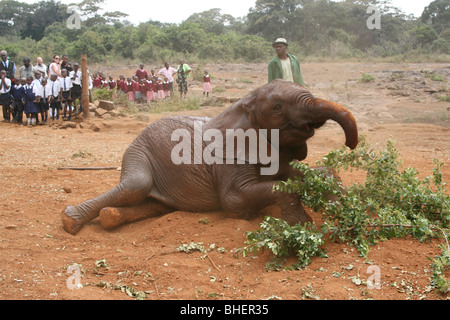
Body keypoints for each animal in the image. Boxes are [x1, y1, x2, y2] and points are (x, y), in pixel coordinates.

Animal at [60, 80, 358, 235]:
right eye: (277, 107)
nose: (351, 144)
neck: (242, 104)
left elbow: (299, 174)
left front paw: (338, 205)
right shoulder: (228, 161)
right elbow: (236, 200)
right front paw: (302, 226)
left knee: (155, 205)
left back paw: (109, 216)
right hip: (138, 151)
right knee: (135, 186)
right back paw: (71, 221)